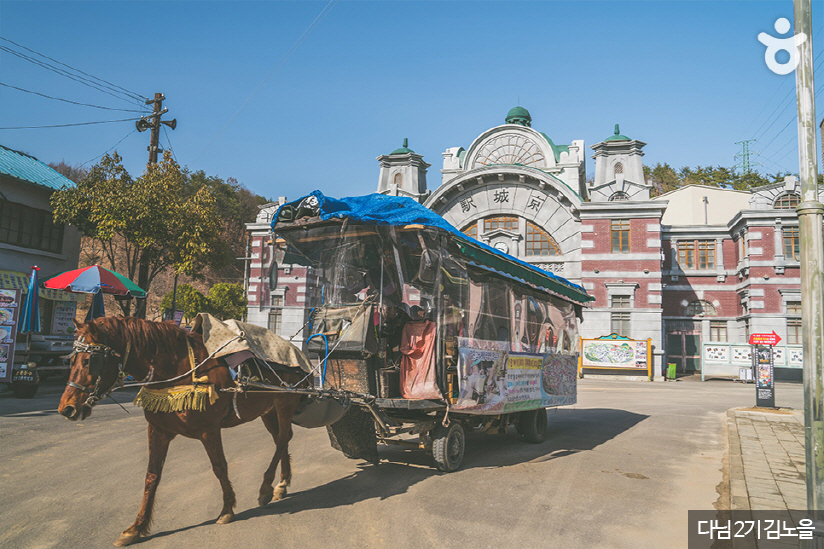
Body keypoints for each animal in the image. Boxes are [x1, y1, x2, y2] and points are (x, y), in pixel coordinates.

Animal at [58, 314, 308, 544]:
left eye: (90, 361)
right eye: (71, 360)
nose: (66, 408)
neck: (174, 372)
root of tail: (298, 353)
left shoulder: (209, 430)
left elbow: (219, 467)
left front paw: (227, 509)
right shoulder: (158, 430)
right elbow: (152, 475)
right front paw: (137, 527)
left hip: (285, 402)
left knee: (283, 438)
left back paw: (267, 487)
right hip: (267, 410)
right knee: (282, 438)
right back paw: (282, 483)